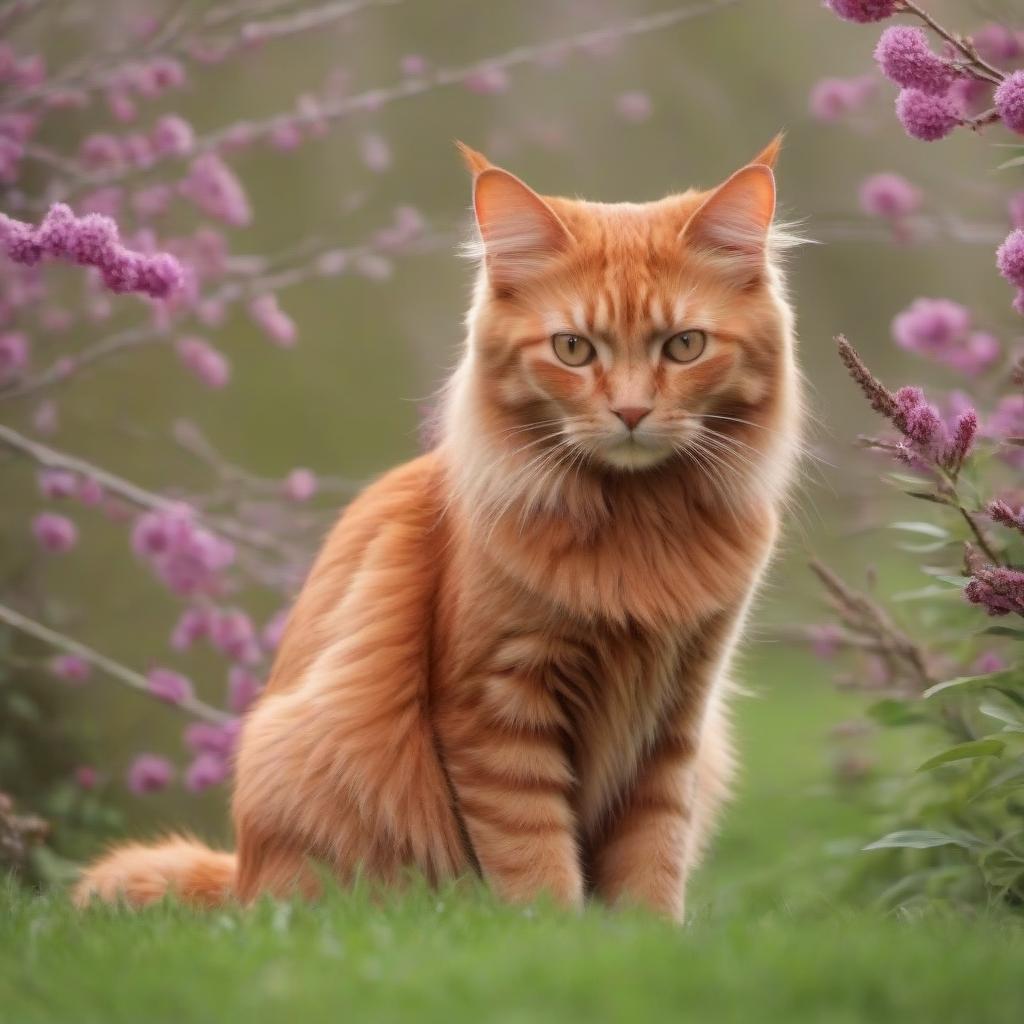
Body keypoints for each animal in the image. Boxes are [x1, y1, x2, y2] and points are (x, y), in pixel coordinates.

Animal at [75, 138, 802, 921]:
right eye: (574, 349)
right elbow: (536, 858)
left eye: (684, 346)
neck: (639, 524)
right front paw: (553, 933)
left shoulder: (677, 715)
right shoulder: (496, 706)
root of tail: (242, 877)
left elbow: (652, 861)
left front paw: (645, 938)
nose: (632, 412)